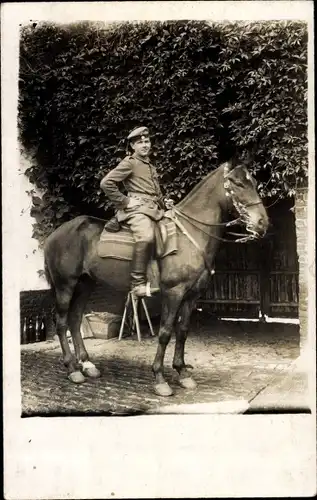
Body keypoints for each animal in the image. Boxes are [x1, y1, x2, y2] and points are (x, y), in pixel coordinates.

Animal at [43, 158, 266, 396]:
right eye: (238, 184)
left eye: (253, 183)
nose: (263, 222)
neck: (190, 234)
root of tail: (55, 234)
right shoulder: (174, 293)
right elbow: (166, 332)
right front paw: (160, 378)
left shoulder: (191, 296)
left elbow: (183, 331)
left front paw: (182, 373)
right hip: (65, 285)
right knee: (62, 323)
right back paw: (72, 368)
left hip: (85, 284)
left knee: (75, 320)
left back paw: (87, 365)